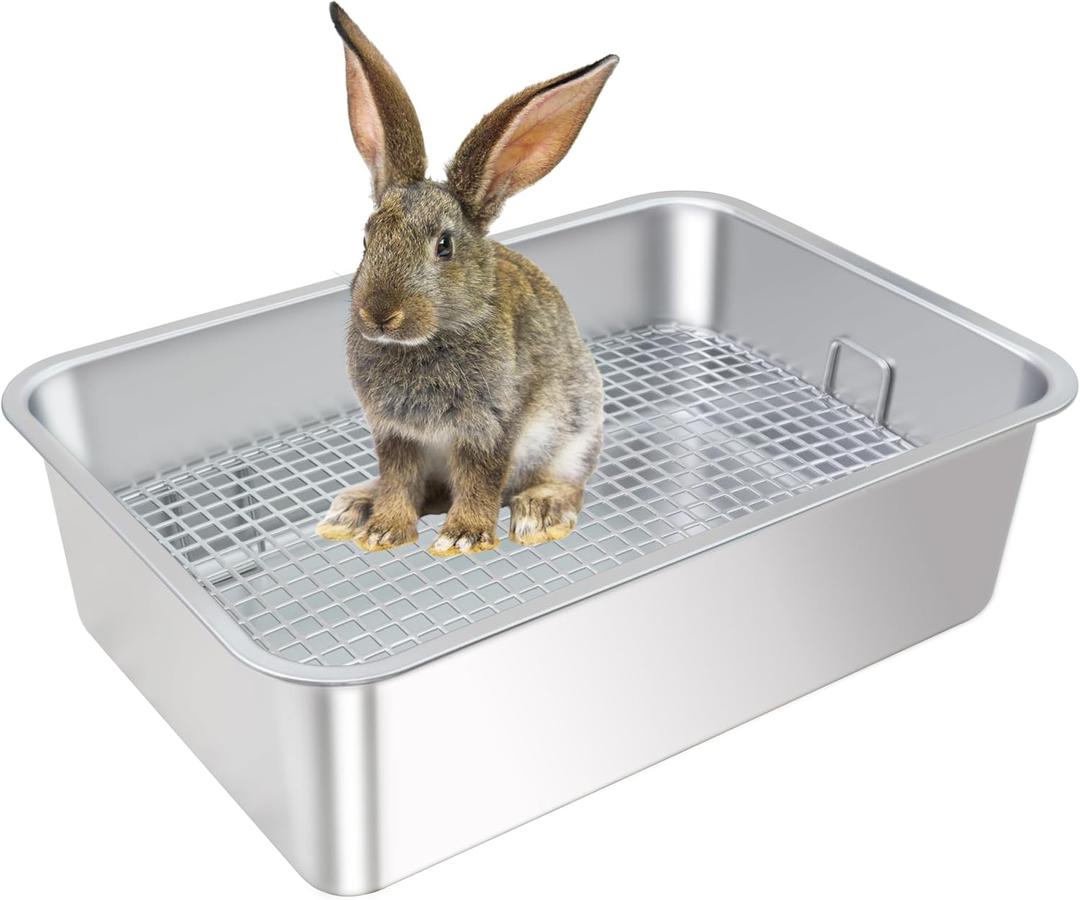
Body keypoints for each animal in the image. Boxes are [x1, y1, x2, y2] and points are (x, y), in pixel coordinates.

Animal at [316, 2, 617, 557]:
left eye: (444, 246)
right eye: (366, 239)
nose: (379, 312)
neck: (427, 340)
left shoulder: (491, 426)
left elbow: (481, 478)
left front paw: (462, 538)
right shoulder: (394, 433)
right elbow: (398, 479)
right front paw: (384, 531)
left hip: (575, 433)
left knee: (565, 483)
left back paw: (541, 513)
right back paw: (354, 509)